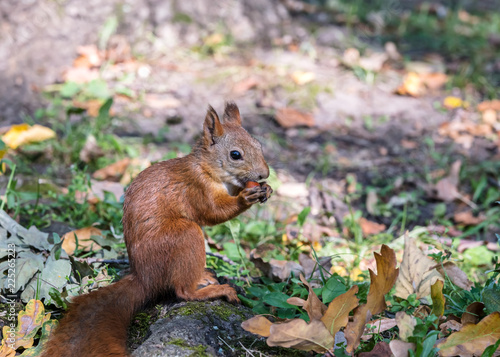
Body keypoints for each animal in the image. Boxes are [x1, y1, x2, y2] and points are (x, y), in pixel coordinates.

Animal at [41, 101, 272, 354]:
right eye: (235, 155)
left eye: (259, 145)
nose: (264, 174)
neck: (208, 168)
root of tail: (144, 278)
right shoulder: (197, 188)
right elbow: (214, 212)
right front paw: (245, 197)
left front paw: (266, 189)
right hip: (185, 235)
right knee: (182, 291)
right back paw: (212, 290)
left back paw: (204, 276)